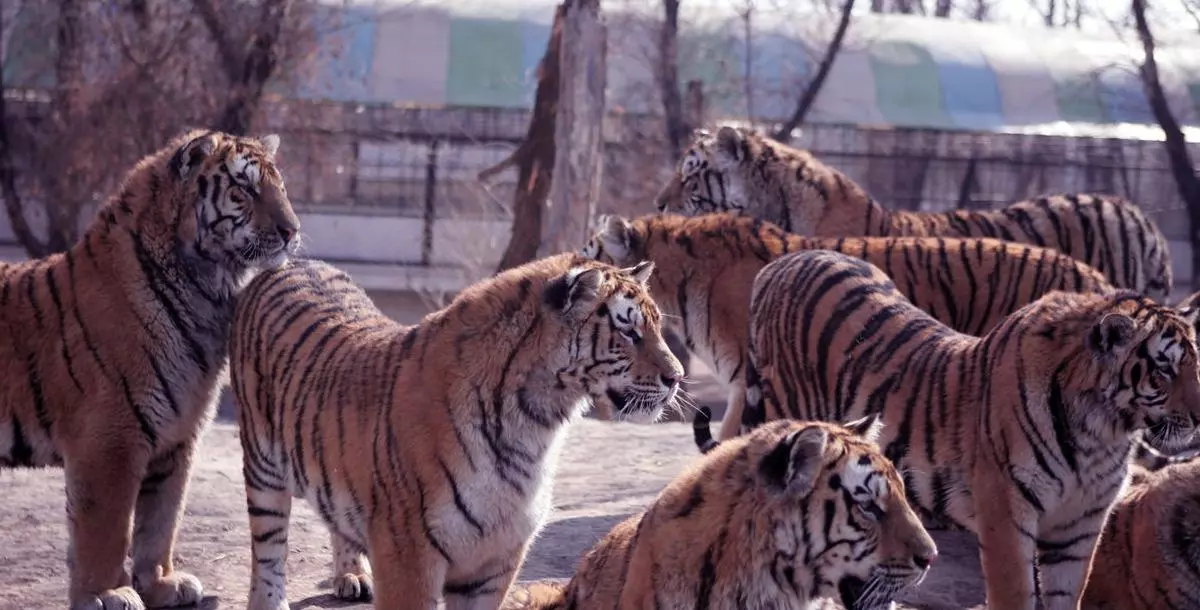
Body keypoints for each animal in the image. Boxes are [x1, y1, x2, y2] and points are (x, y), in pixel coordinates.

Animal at [0, 129, 298, 610]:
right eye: (244, 190)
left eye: (281, 188)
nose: (293, 231)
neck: (205, 293)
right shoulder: (110, 441)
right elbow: (106, 529)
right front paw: (107, 592)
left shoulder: (178, 436)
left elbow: (162, 519)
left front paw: (162, 583)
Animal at [228, 253, 684, 610]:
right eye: (628, 331)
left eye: (656, 326)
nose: (677, 377)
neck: (535, 422)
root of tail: (293, 260)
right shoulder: (408, 556)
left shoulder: (495, 559)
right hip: (263, 468)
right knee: (268, 552)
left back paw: (351, 576)